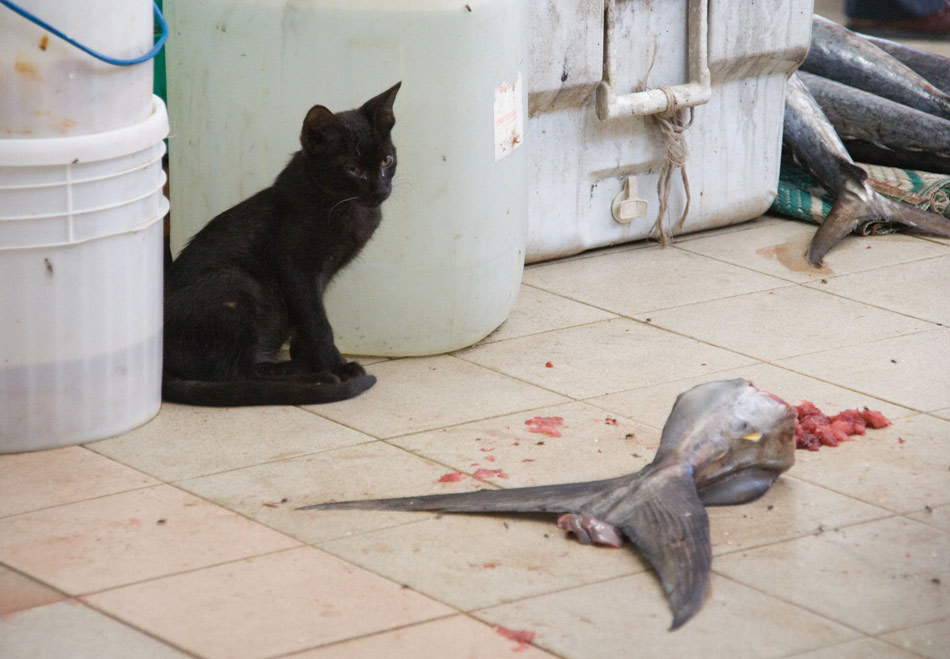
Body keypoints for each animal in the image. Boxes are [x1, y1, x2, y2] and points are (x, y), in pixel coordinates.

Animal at [164, 80, 402, 404]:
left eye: (386, 160)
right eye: (353, 169)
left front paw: (317, 359)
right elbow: (318, 323)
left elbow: (307, 324)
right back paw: (315, 380)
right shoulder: (297, 270)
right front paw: (337, 367)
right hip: (237, 284)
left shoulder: (317, 280)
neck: (342, 206)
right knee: (234, 374)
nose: (380, 190)